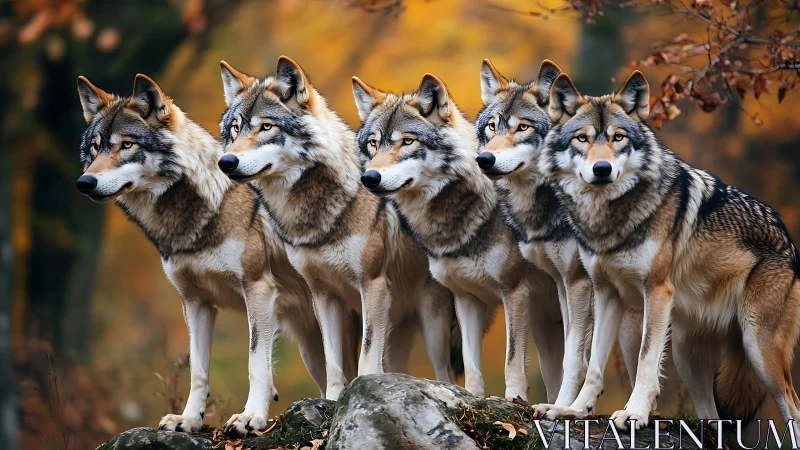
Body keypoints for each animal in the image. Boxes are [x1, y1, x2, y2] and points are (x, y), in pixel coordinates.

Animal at [74, 75, 333, 436]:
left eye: (126, 145)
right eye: (96, 147)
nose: (84, 182)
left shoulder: (258, 289)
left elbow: (255, 363)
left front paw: (251, 418)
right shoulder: (195, 301)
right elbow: (198, 371)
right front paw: (188, 420)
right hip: (311, 345)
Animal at [215, 57, 461, 400]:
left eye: (266, 126)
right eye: (236, 128)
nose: (226, 162)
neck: (314, 214)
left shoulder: (373, 285)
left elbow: (366, 356)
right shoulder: (322, 294)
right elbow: (335, 364)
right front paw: (333, 400)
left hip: (433, 323)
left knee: (446, 373)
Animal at [351, 73, 563, 402]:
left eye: (408, 141)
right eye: (373, 143)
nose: (369, 178)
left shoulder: (515, 291)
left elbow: (512, 358)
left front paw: (514, 399)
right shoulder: (467, 296)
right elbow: (471, 363)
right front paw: (473, 398)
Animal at [475, 59, 643, 409]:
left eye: (523, 128)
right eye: (492, 127)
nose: (484, 159)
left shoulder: (578, 281)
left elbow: (574, 355)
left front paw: (564, 406)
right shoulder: (561, 281)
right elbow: (569, 351)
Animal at [535, 70, 800, 432]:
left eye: (619, 138)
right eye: (582, 138)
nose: (602, 169)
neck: (611, 220)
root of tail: (788, 240)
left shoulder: (657, 292)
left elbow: (646, 359)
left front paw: (634, 414)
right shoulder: (606, 294)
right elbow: (594, 366)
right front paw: (573, 410)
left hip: (759, 348)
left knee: (793, 405)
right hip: (687, 357)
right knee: (712, 418)